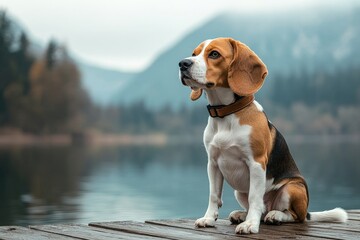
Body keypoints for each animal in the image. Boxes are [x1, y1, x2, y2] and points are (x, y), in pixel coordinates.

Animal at [179, 38, 348, 234]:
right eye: (194, 53)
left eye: (214, 54)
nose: (183, 63)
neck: (226, 114)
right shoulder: (213, 164)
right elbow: (214, 195)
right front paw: (208, 218)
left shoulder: (256, 163)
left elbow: (254, 197)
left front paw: (250, 225)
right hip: (240, 191)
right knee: (262, 209)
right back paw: (242, 214)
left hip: (293, 187)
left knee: (293, 216)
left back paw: (275, 215)